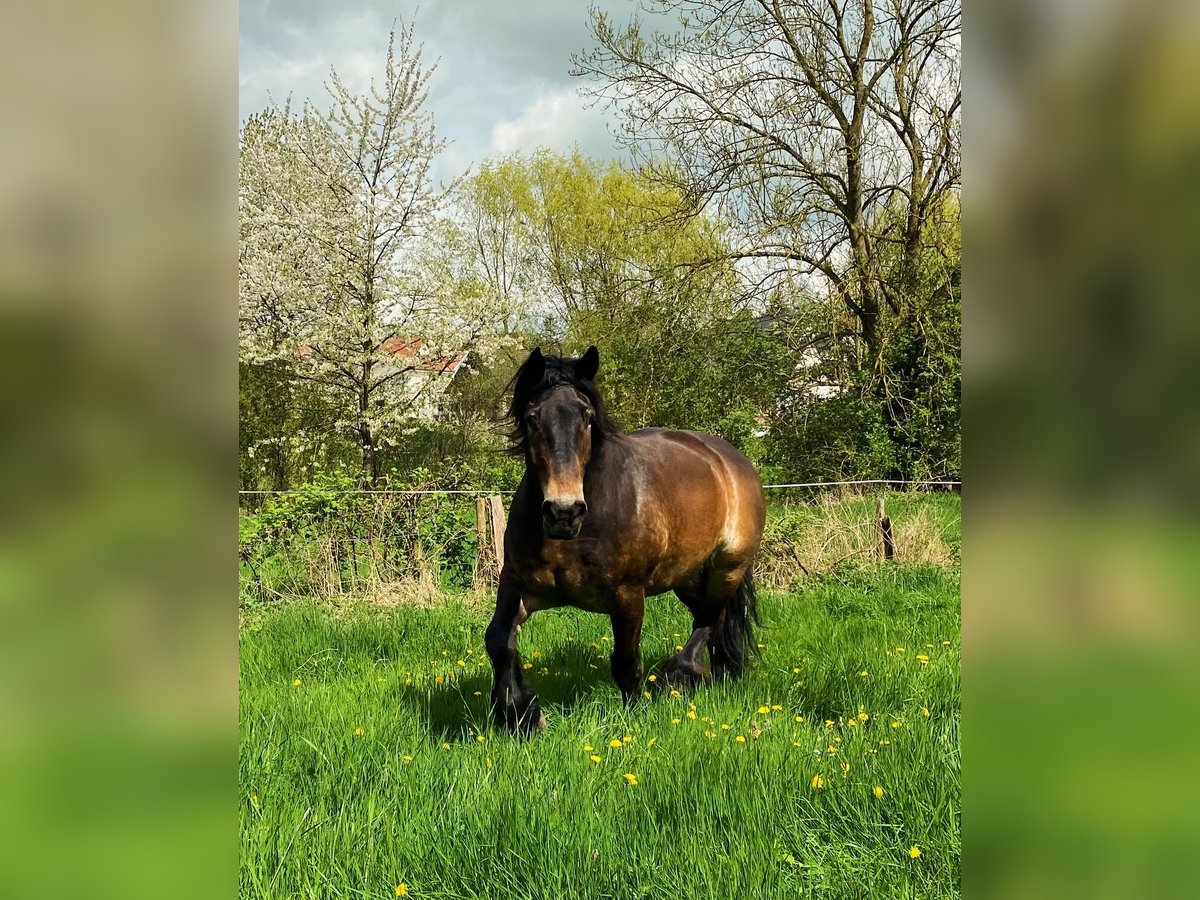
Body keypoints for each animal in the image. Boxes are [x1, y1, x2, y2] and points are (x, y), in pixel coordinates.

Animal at [487, 348, 768, 734]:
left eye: (587, 417)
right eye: (532, 418)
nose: (564, 512)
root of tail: (729, 459)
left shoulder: (628, 596)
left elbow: (625, 661)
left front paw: (636, 717)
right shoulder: (517, 586)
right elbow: (499, 641)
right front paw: (520, 714)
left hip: (729, 567)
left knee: (709, 621)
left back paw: (681, 676)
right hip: (688, 576)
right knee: (714, 620)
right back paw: (722, 676)